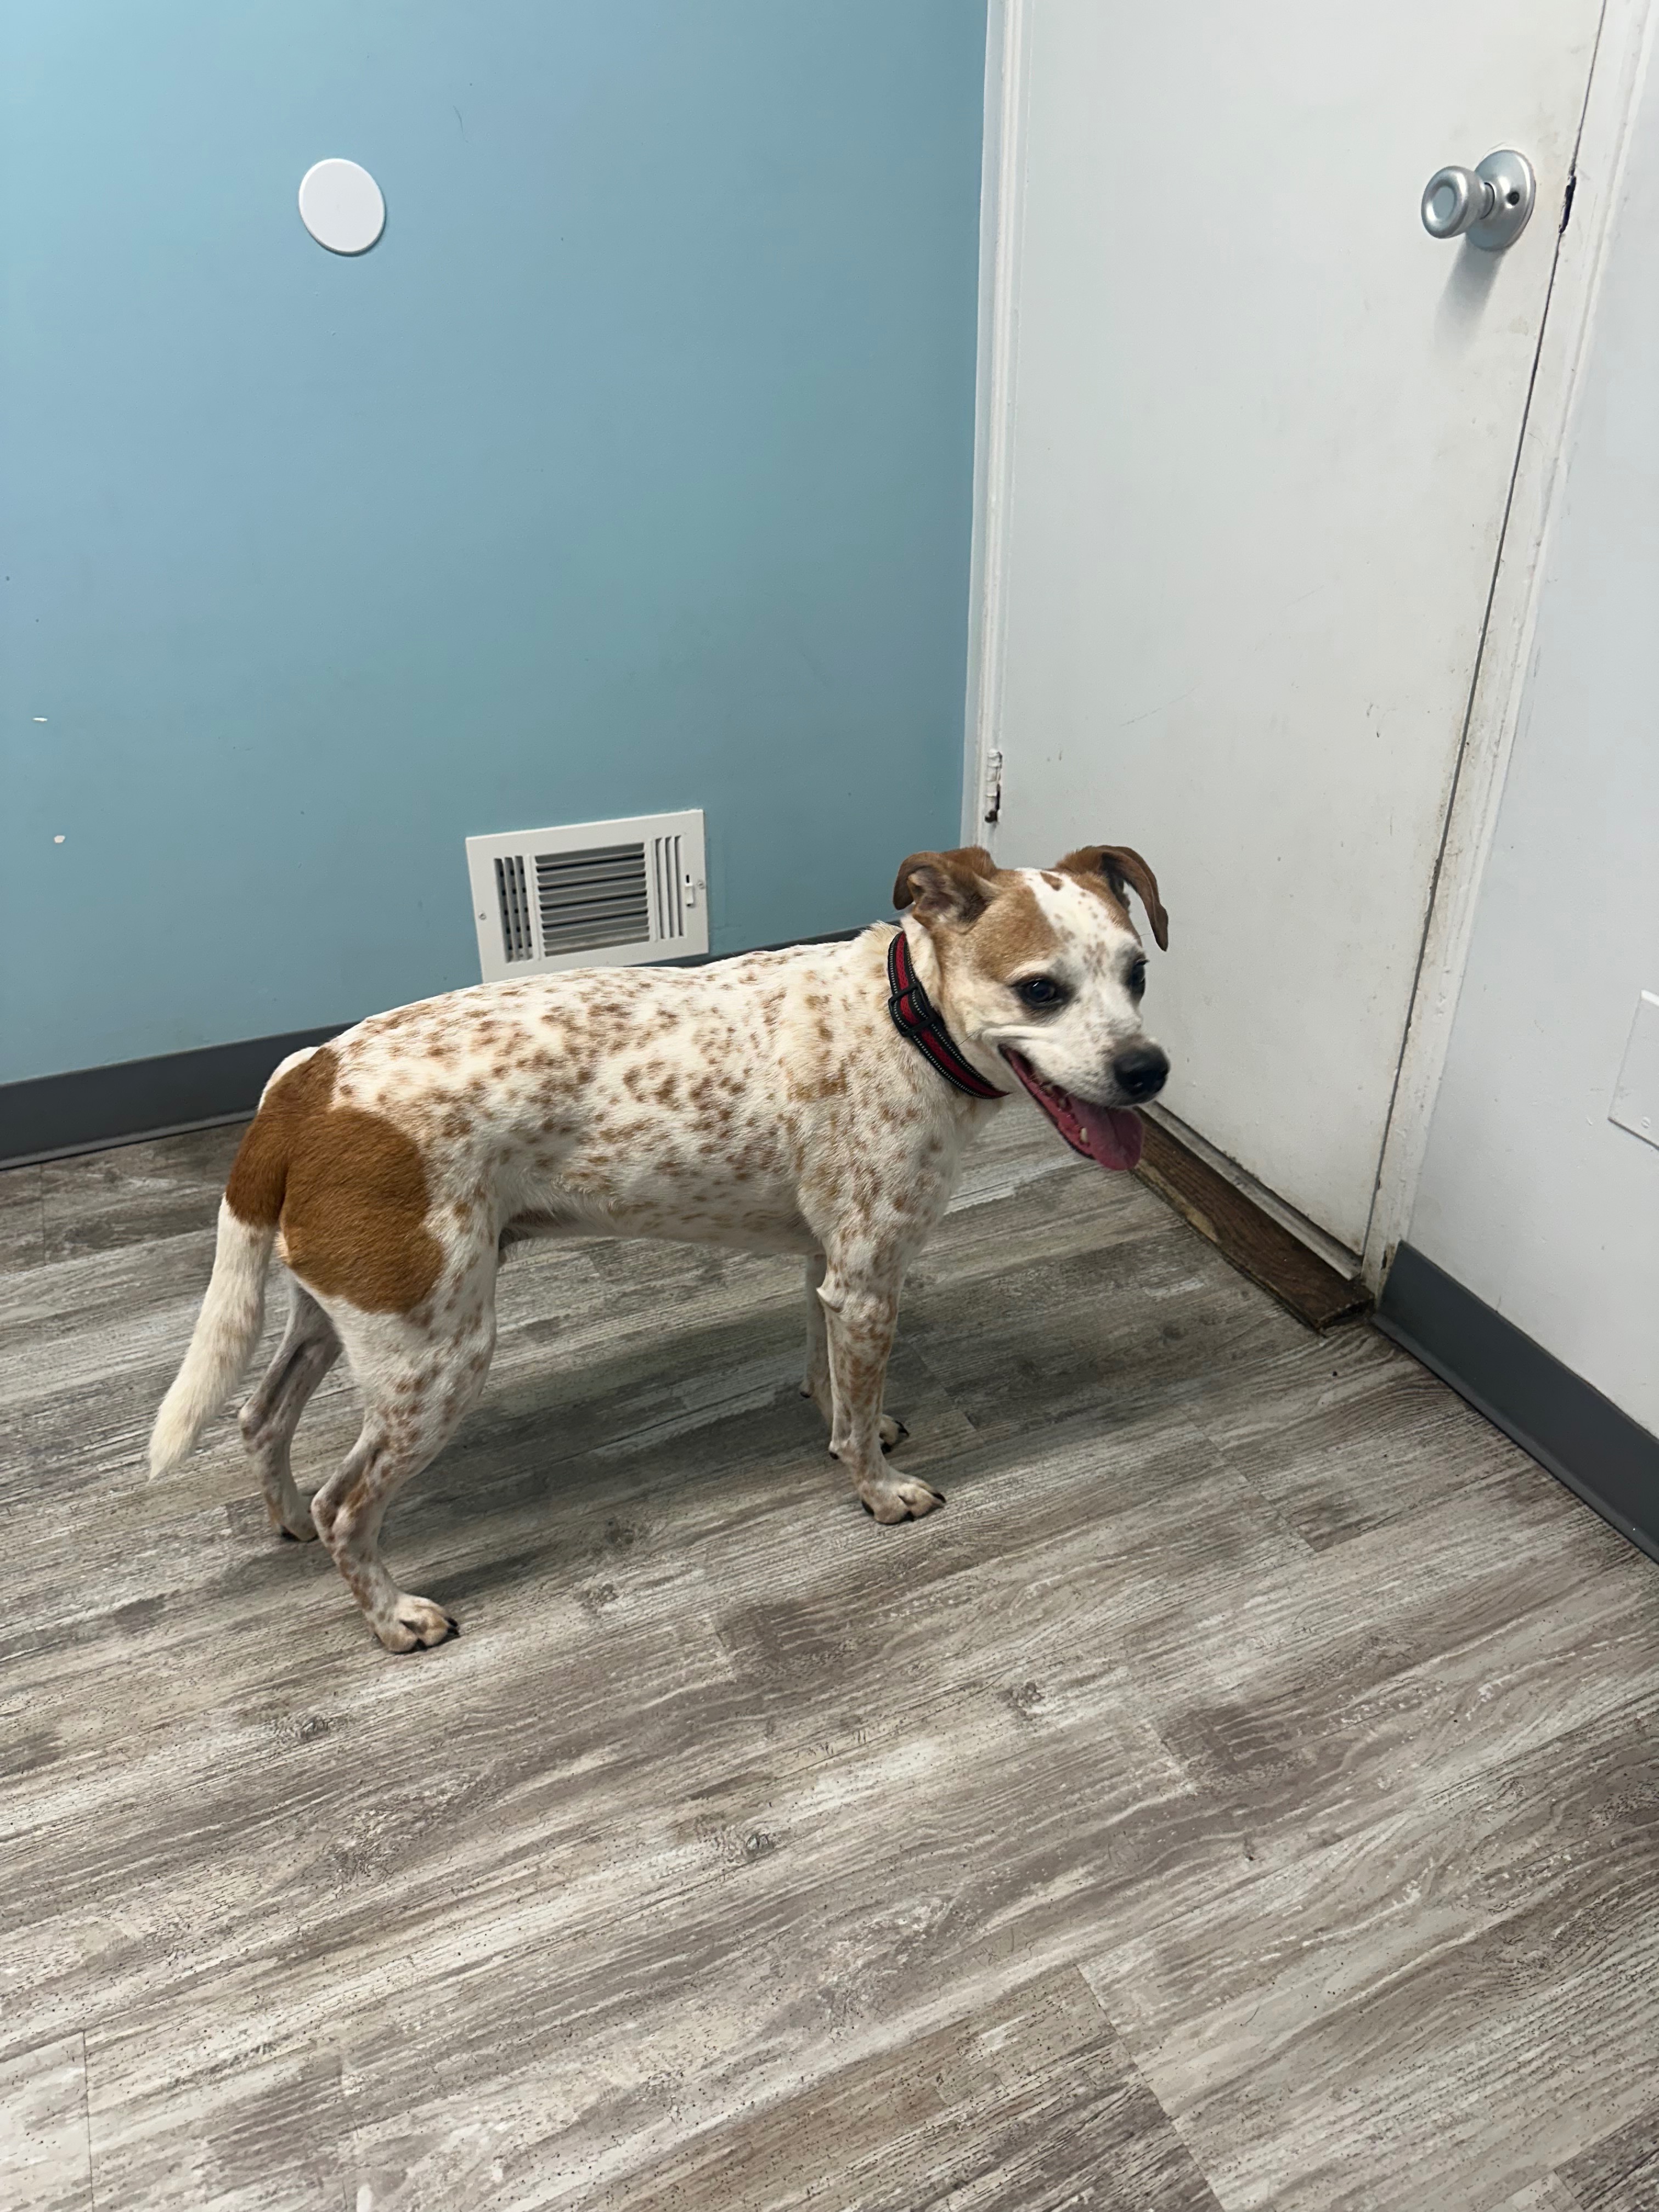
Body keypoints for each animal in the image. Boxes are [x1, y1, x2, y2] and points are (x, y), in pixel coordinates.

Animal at [149, 843, 1169, 1651]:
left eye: (1137, 975)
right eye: (1040, 990)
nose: (1147, 1070)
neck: (904, 1016)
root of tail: (299, 1087)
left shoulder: (833, 1271)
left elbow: (830, 1379)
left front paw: (849, 1420)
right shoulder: (869, 1282)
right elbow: (855, 1417)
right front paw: (879, 1491)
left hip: (343, 1315)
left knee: (262, 1419)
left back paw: (285, 1517)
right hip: (435, 1360)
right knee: (347, 1505)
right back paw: (392, 1614)